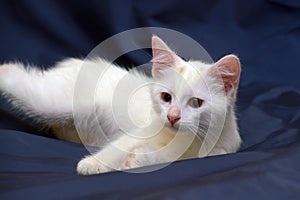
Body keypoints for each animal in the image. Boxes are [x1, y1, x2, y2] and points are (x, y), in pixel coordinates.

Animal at [0, 36, 241, 175]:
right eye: (166, 97)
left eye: (196, 103)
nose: (172, 117)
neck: (186, 140)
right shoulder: (141, 131)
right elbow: (118, 148)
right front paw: (92, 164)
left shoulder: (220, 151)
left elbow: (166, 158)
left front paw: (137, 160)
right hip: (56, 102)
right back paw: (5, 69)